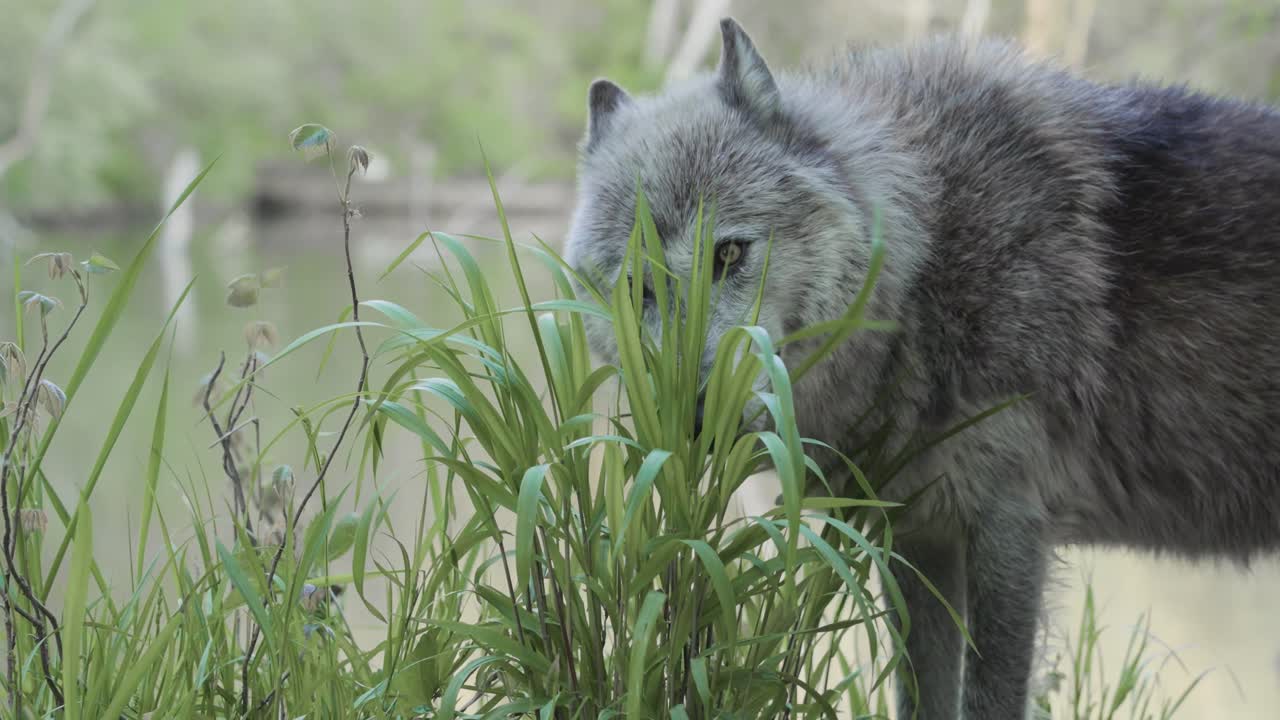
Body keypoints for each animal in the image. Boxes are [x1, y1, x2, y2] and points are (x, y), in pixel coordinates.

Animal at [563, 16, 1280, 720]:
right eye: (634, 290)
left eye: (730, 254)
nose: (695, 419)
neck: (932, 250)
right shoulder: (918, 536)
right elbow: (921, 695)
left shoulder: (1007, 526)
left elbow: (987, 699)